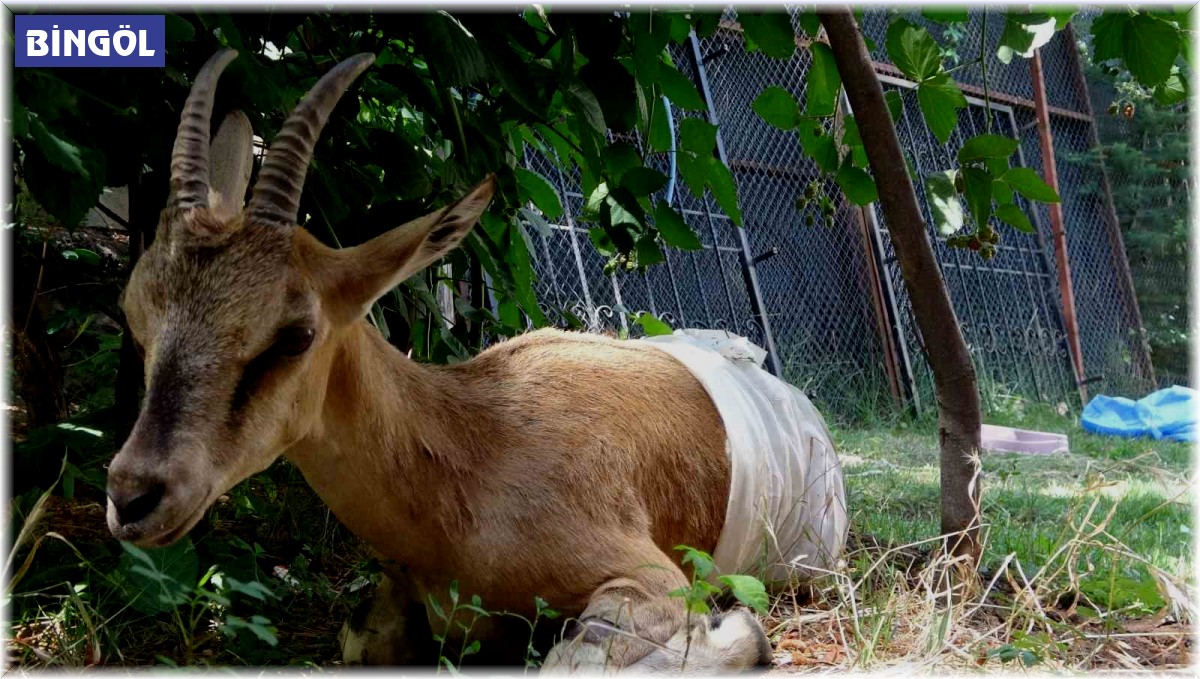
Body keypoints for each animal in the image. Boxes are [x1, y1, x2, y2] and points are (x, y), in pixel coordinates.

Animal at [108, 50, 849, 671]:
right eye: (134, 312)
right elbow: (364, 640)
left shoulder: (648, 577)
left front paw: (740, 630)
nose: (133, 495)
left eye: (294, 334)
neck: (468, 458)